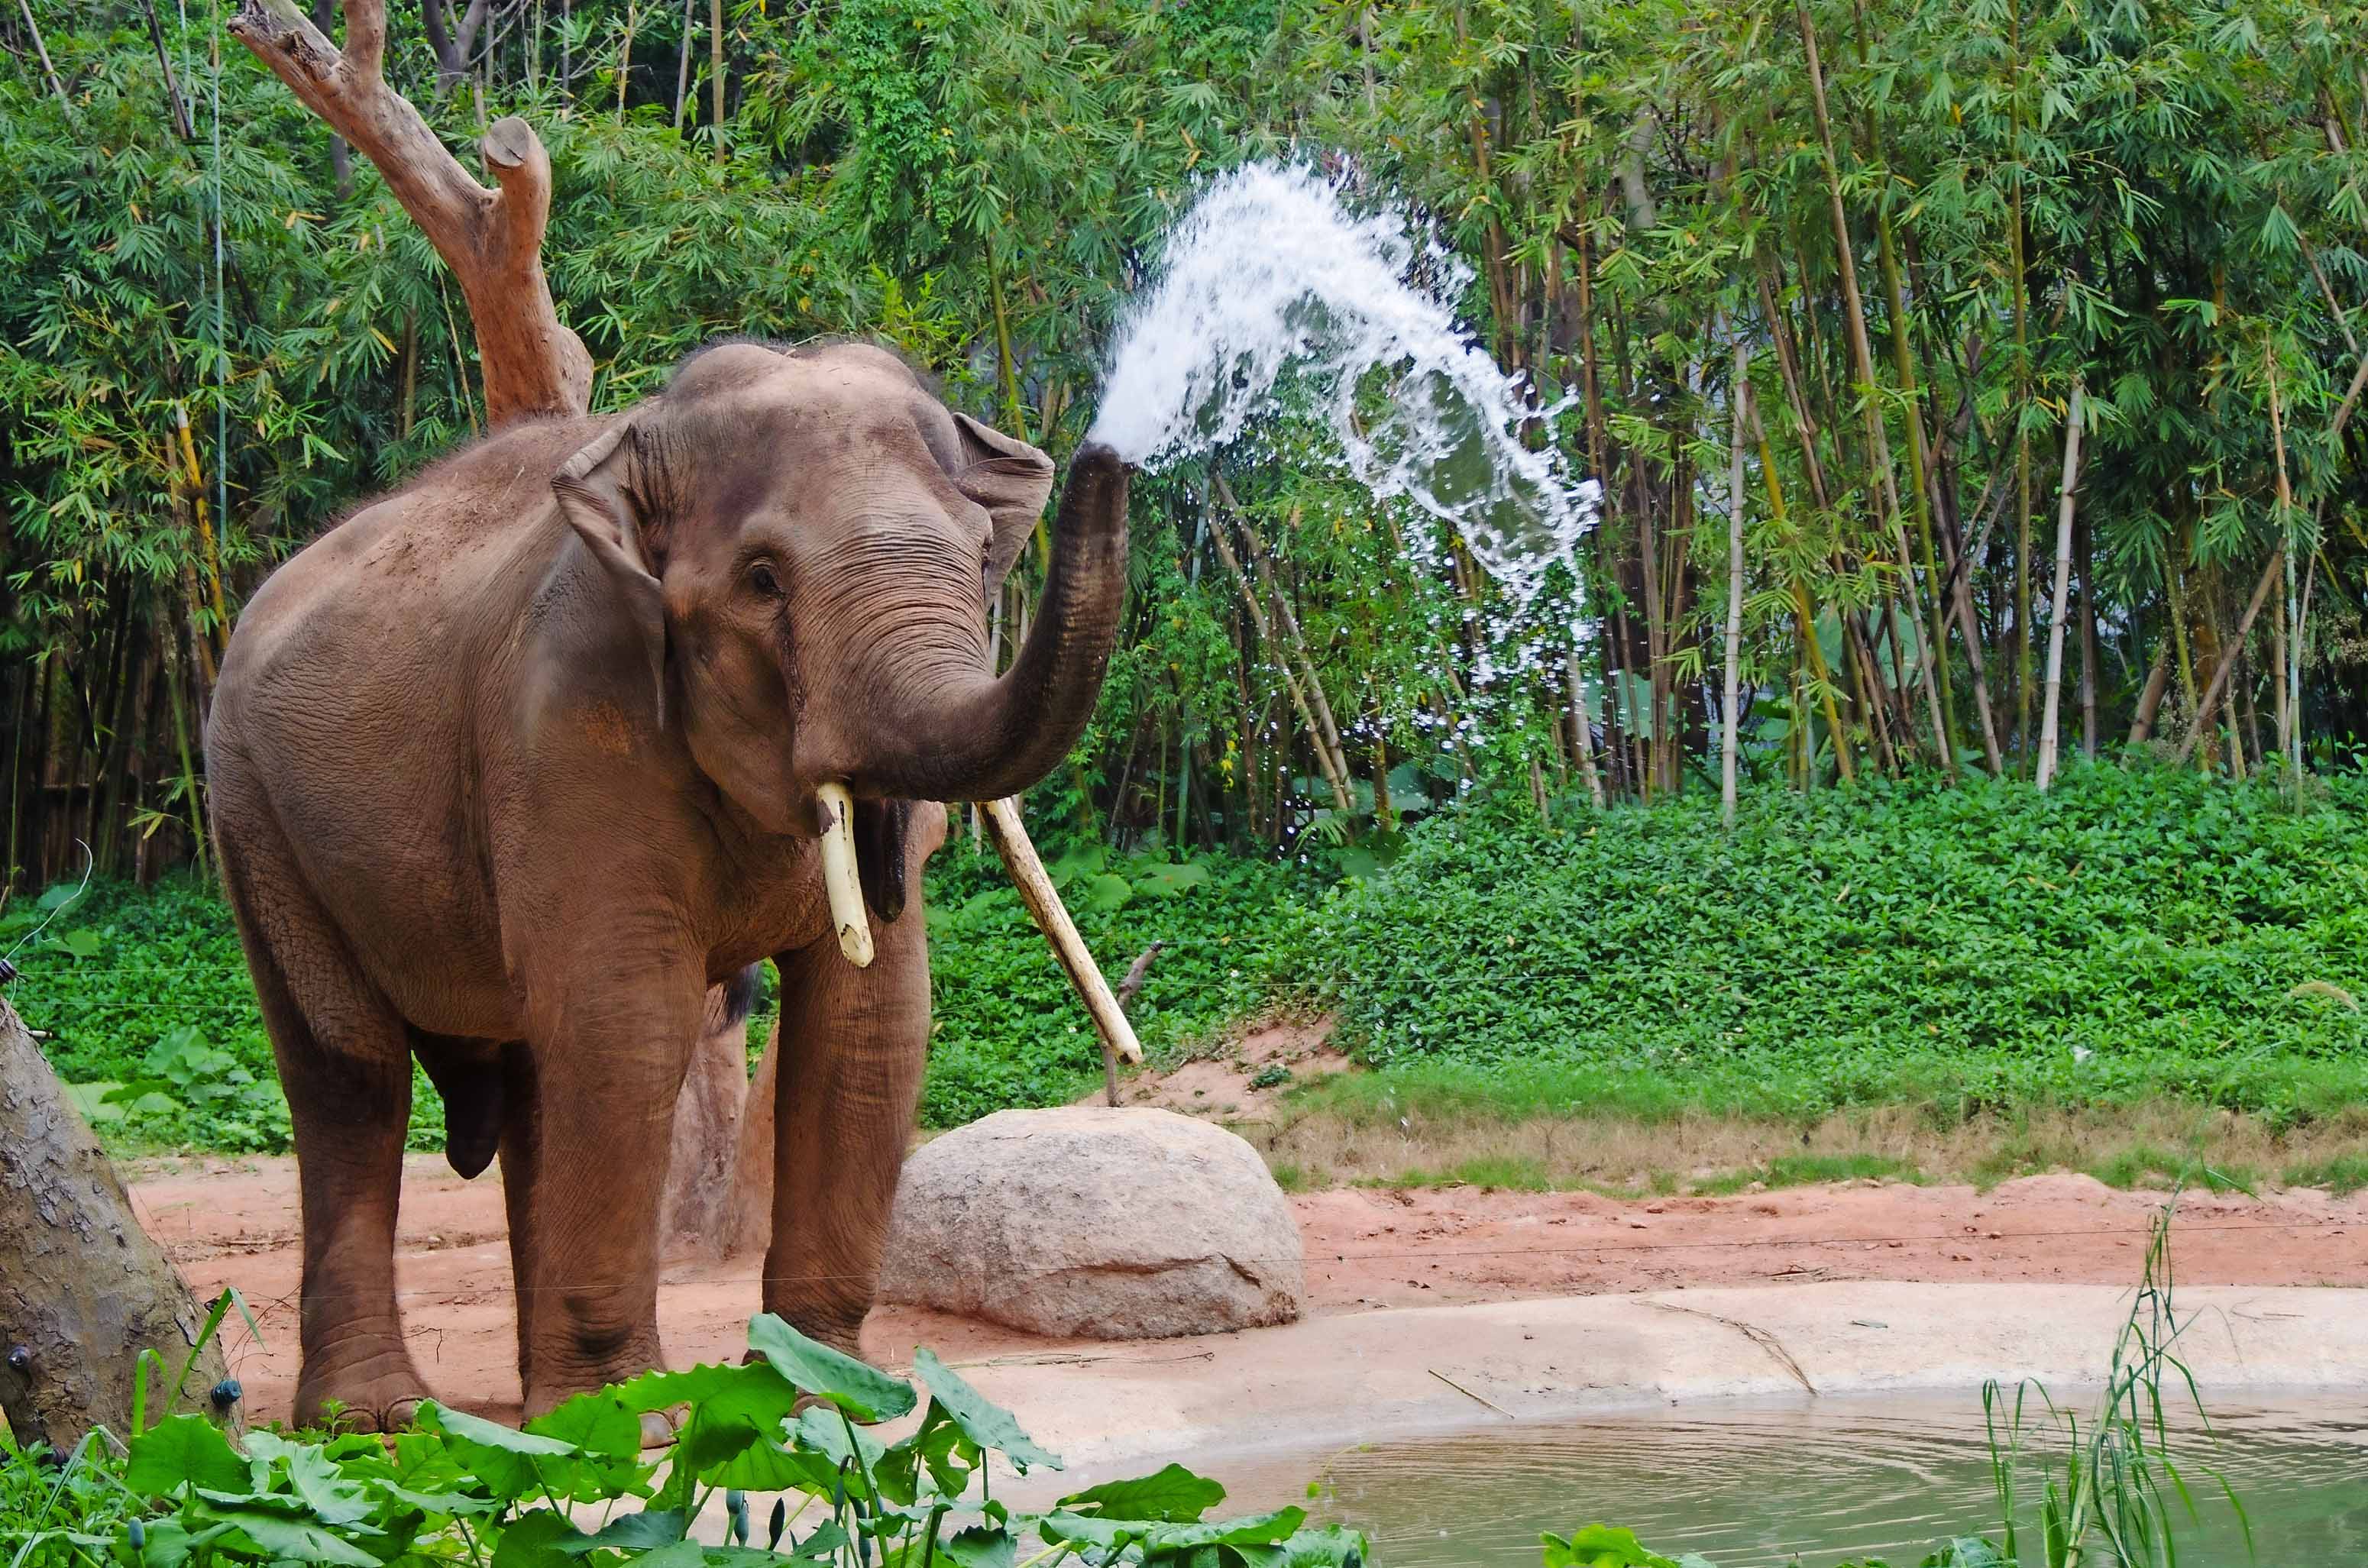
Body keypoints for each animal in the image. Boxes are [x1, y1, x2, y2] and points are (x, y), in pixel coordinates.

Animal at [203, 343, 1127, 1440]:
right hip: (255, 816)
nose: (1112, 455)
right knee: (351, 1075)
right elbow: (628, 1021)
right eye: (762, 579)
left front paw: (823, 1395)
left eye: (983, 554)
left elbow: (869, 1023)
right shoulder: (568, 724)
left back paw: (531, 1402)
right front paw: (626, 1421)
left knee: (530, 1078)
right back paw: (382, 1417)